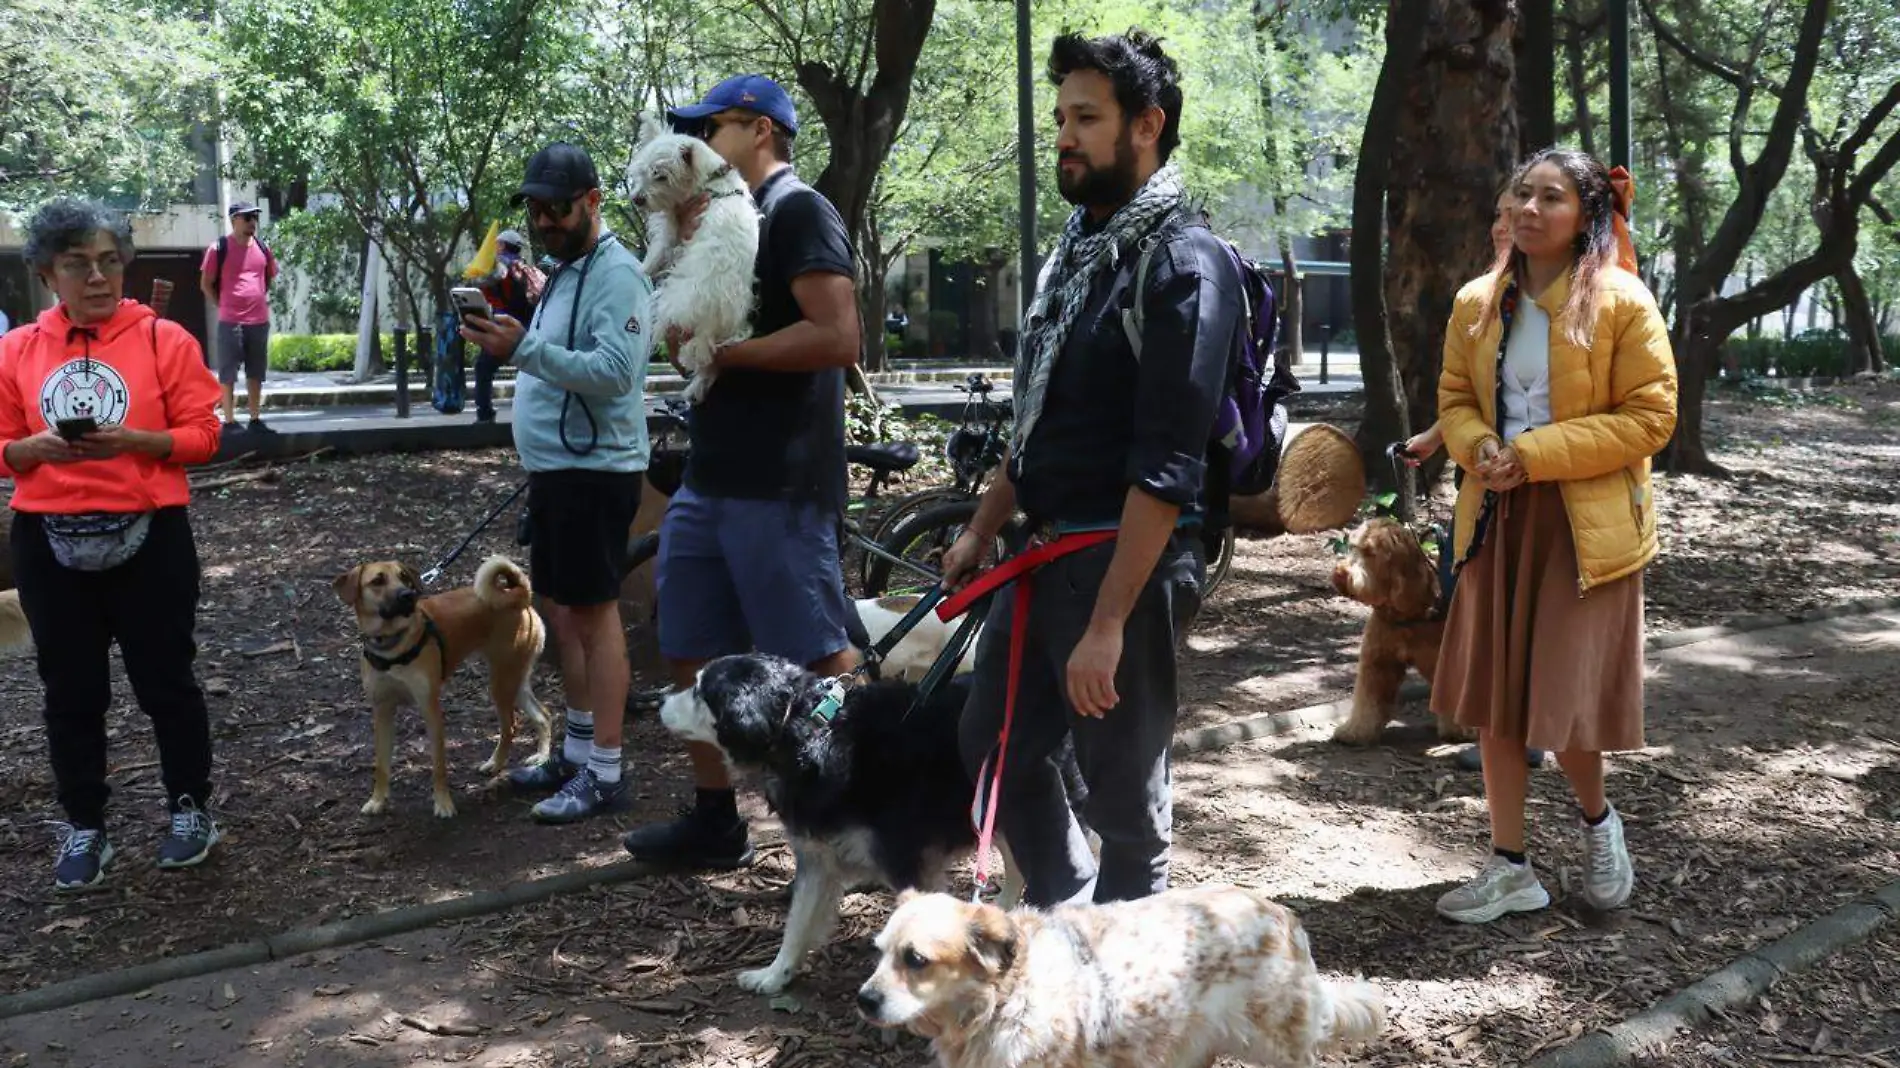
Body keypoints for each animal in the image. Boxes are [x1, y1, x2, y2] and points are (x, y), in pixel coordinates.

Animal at [334, 547, 554, 813]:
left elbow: (438, 766)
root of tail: (518, 594)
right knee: (543, 714)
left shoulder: (430, 709)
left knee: (510, 726)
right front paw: (377, 801)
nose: (408, 595)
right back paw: (542, 757)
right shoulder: (382, 711)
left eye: (404, 577)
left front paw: (443, 803)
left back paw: (496, 763)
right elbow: (382, 765)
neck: (393, 646)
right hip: (515, 678)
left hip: (502, 680)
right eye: (377, 581)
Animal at [634, 112, 760, 402]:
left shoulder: (672, 225)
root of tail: (709, 325)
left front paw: (641, 268)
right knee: (710, 363)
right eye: (641, 172)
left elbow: (657, 251)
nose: (637, 199)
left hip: (668, 302)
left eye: (661, 177)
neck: (711, 181)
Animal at [661, 653, 1094, 995]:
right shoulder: (817, 859)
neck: (811, 734)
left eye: (699, 690)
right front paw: (774, 976)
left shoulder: (906, 861)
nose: (660, 699)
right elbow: (797, 924)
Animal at [858, 881, 1383, 1064]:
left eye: (916, 959)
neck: (1006, 1001)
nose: (864, 1000)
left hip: (1279, 1048)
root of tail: (1284, 917)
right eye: (879, 953)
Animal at [1330, 516, 1459, 741]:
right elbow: (1368, 699)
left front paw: (1459, 730)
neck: (1406, 616)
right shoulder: (1378, 662)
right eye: (1353, 547)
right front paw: (1355, 730)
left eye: (1370, 553)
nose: (1340, 573)